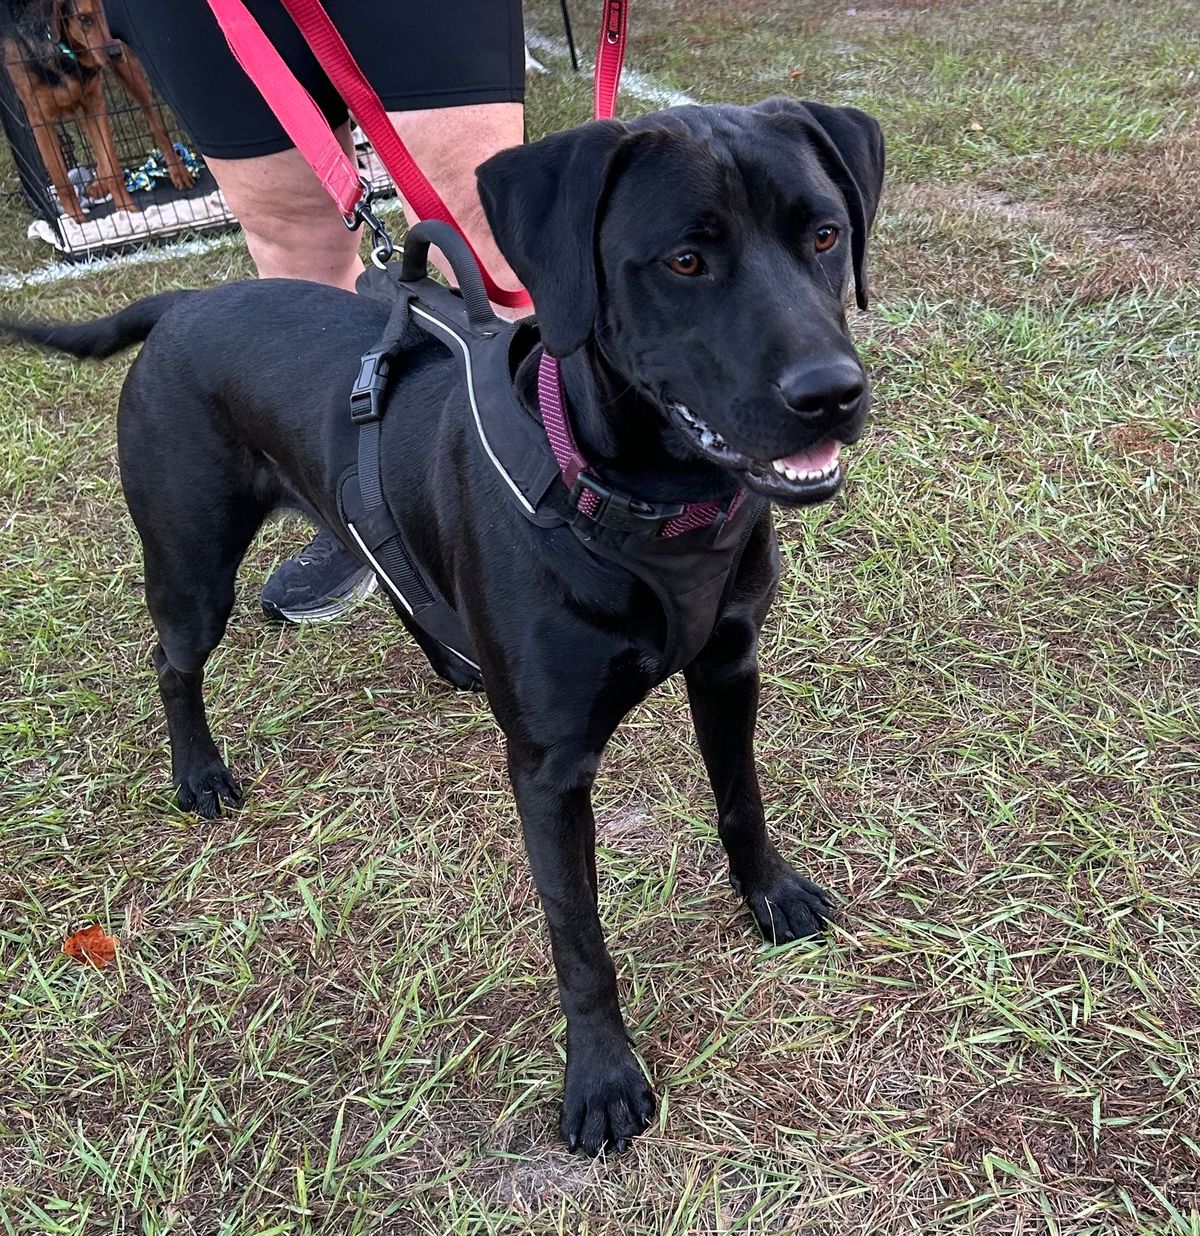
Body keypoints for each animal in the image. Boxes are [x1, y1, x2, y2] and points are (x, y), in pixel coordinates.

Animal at [2, 0, 194, 222]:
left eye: (108, 12)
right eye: (84, 19)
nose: (115, 52)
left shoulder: (95, 103)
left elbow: (110, 161)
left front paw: (128, 211)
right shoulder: (40, 119)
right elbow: (61, 179)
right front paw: (77, 222)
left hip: (130, 74)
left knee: (156, 124)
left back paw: (178, 172)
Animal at [4, 101, 884, 1151]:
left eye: (824, 236)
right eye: (683, 261)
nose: (832, 392)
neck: (645, 505)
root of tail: (182, 302)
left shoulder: (728, 666)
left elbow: (740, 799)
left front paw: (771, 895)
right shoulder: (549, 770)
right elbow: (578, 936)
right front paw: (600, 1075)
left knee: (387, 560)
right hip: (191, 566)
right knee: (174, 661)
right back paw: (199, 773)